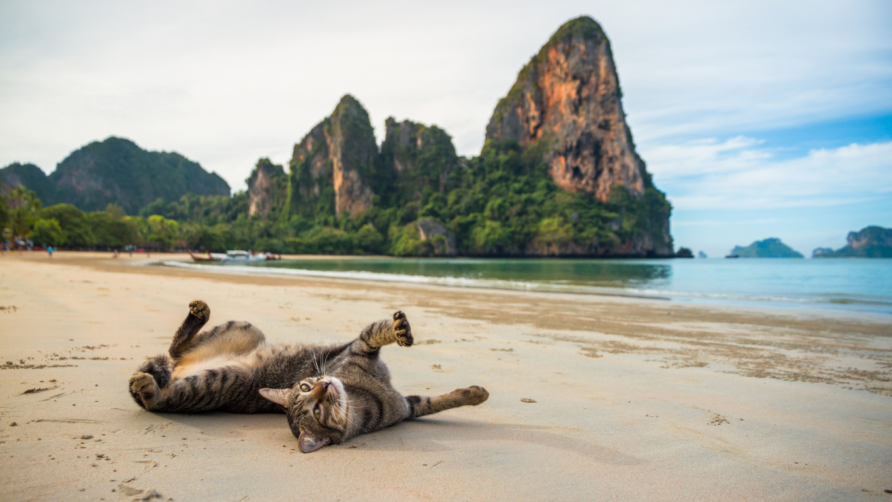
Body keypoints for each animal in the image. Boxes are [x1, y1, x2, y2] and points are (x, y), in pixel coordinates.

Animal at [127, 300, 488, 452]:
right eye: (316, 409)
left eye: (304, 385)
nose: (324, 383)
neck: (369, 394)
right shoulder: (359, 349)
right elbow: (374, 332)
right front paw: (398, 329)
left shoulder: (408, 404)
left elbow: (439, 400)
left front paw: (474, 394)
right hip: (210, 382)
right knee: (160, 394)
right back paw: (145, 385)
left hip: (245, 328)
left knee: (176, 349)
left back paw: (199, 311)